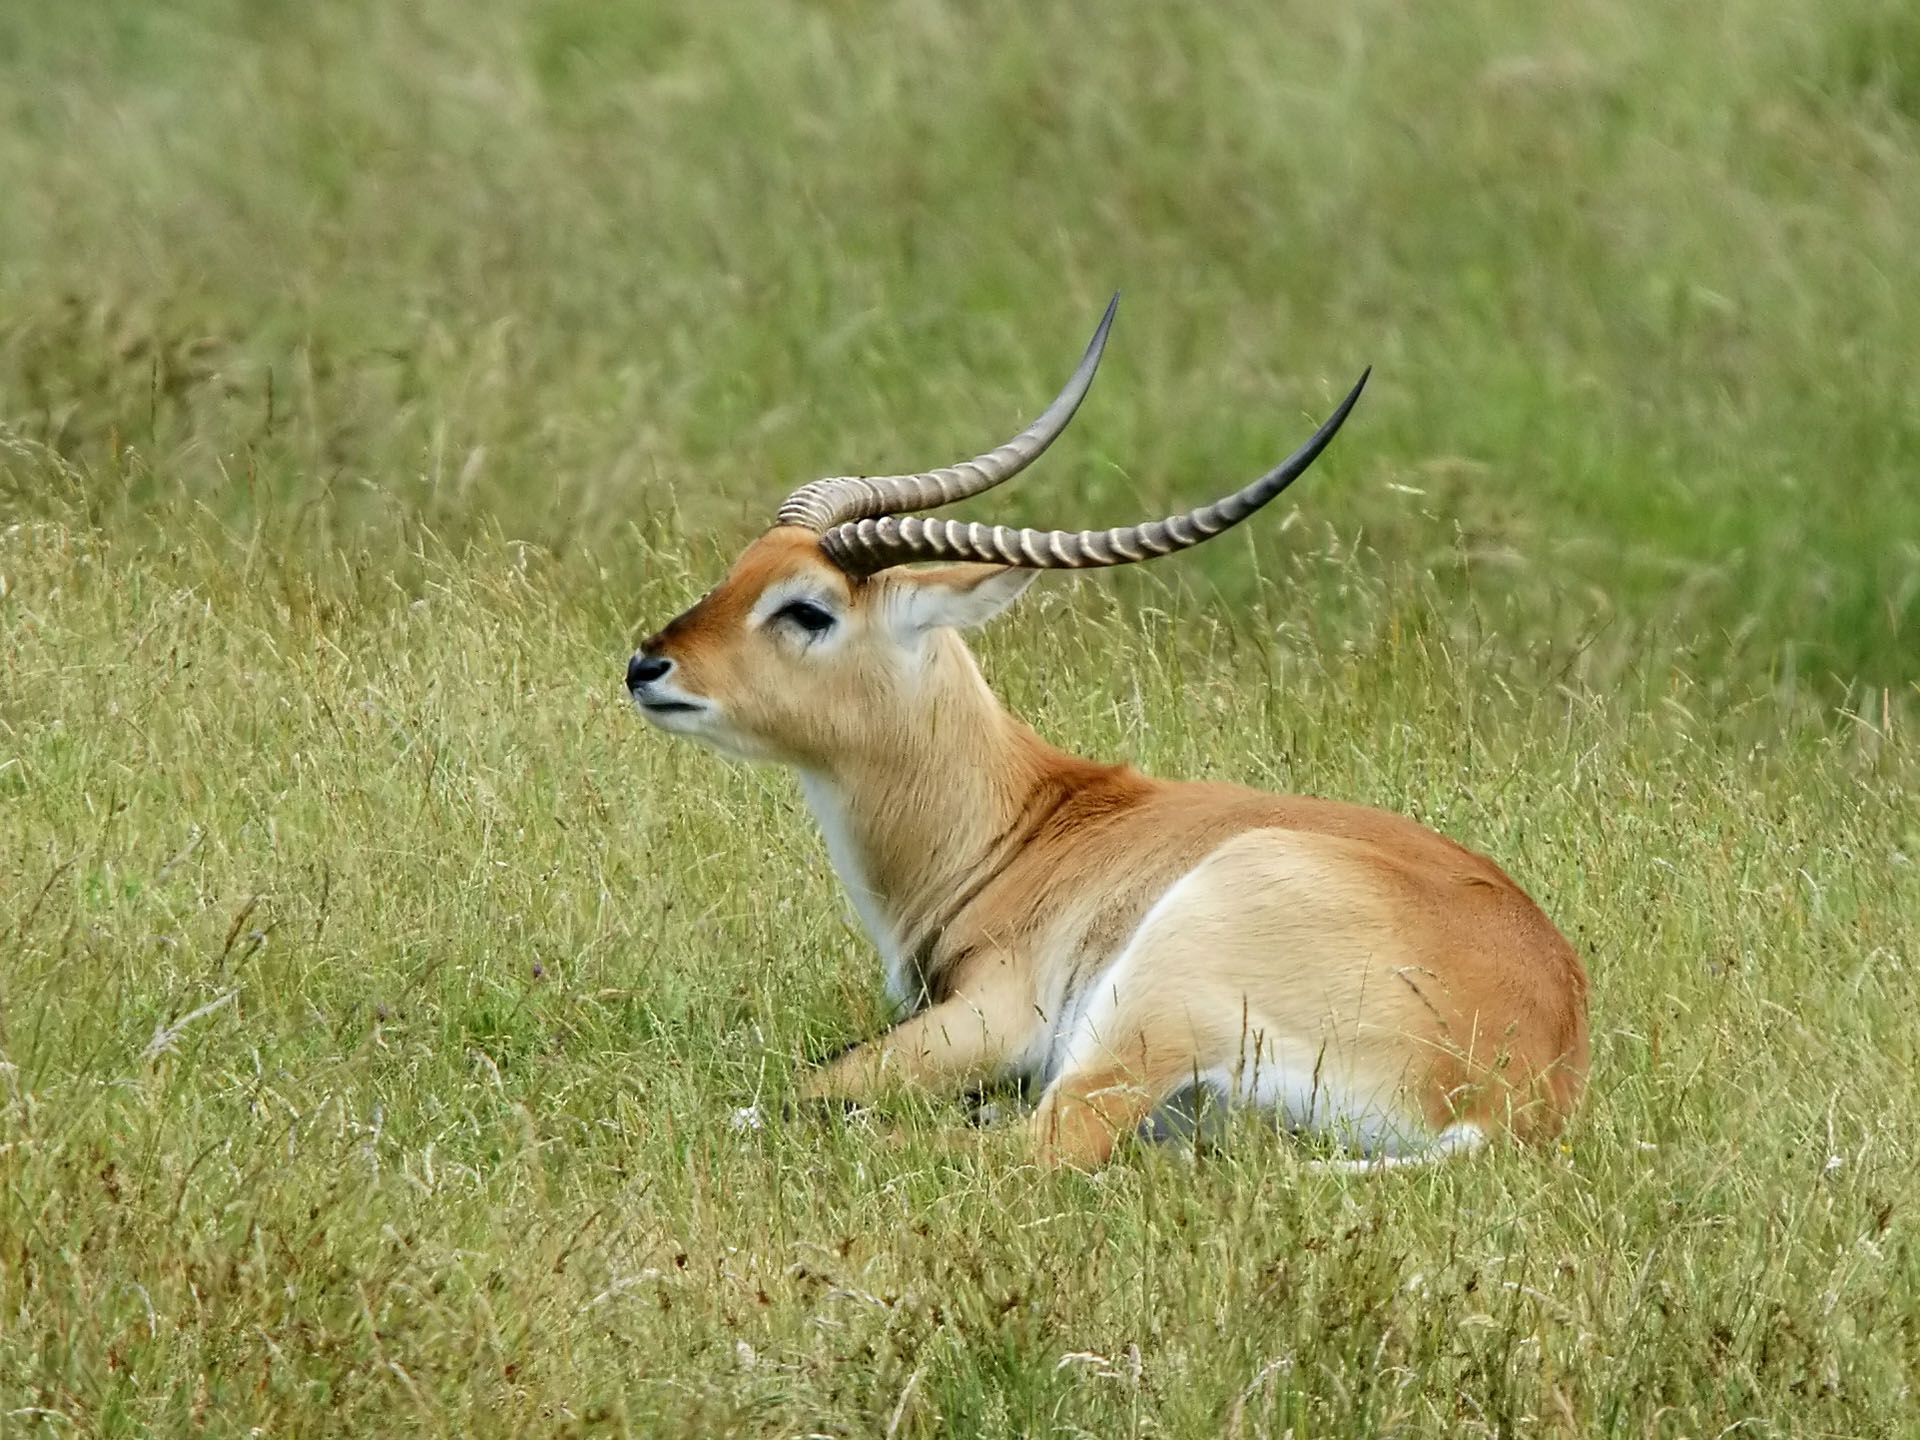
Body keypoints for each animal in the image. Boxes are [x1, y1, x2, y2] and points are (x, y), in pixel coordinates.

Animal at [629, 299, 1589, 1167]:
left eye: (807, 609)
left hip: (1148, 995)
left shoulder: (989, 1018)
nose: (647, 666)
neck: (1021, 829)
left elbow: (809, 1082)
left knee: (1039, 1142)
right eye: (740, 570)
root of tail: (1511, 1098)